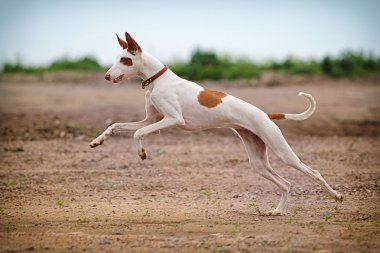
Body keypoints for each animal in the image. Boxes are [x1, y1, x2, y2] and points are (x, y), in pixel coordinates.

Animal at [90, 32, 344, 215]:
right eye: (116, 59)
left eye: (125, 60)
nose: (105, 76)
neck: (158, 80)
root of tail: (266, 114)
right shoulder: (151, 119)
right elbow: (116, 126)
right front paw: (97, 141)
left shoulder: (172, 119)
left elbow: (138, 133)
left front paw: (142, 153)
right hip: (258, 162)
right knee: (286, 183)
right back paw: (278, 211)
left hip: (282, 151)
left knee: (313, 172)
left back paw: (335, 196)